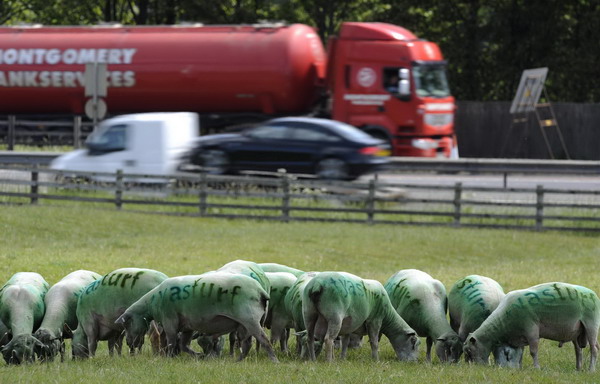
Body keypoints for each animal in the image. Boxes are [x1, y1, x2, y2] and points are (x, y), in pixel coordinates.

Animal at [115, 272, 278, 362]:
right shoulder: (188, 326)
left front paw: (168, 359)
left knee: (264, 340)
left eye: (126, 324)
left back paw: (274, 361)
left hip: (250, 319)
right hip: (243, 325)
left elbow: (171, 342)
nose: (129, 343)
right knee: (247, 344)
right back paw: (237, 361)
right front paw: (198, 356)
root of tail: (261, 291)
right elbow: (183, 345)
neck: (151, 303)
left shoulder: (170, 321)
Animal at [464, 280, 600, 370]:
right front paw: (520, 368)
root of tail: (593, 294)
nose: (476, 369)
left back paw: (591, 370)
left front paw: (537, 368)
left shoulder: (531, 330)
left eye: (469, 351)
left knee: (594, 349)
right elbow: (520, 354)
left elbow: (533, 352)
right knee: (578, 350)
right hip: (576, 331)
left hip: (591, 324)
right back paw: (578, 369)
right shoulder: (520, 336)